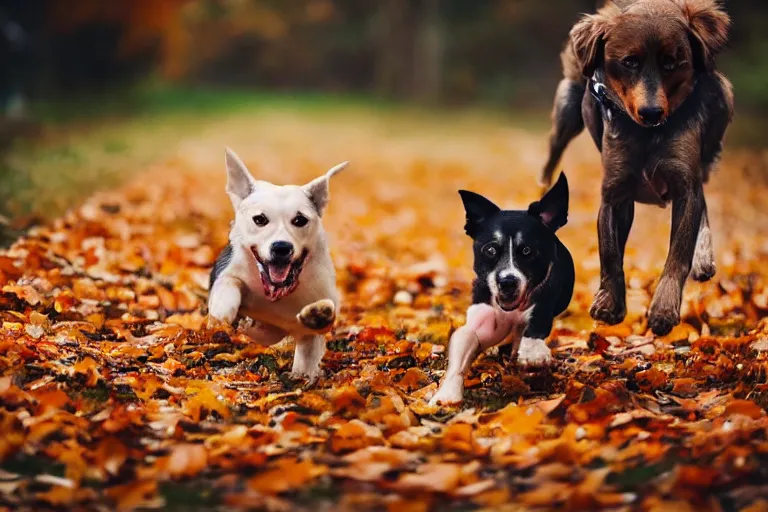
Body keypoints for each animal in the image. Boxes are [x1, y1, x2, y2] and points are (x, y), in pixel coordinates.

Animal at [206, 148, 346, 380]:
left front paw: (318, 315)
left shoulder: (315, 317)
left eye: (300, 220)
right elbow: (229, 283)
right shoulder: (228, 270)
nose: (281, 247)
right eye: (260, 219)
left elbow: (322, 321)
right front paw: (225, 309)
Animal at [428, 174, 572, 406]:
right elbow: (461, 353)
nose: (507, 281)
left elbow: (537, 320)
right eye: (490, 250)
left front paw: (532, 351)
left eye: (527, 251)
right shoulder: (476, 326)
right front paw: (446, 394)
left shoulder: (544, 300)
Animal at [540, 0, 732, 338]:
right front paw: (608, 303)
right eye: (629, 62)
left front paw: (664, 309)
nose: (651, 112)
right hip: (565, 115)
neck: (646, 135)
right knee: (552, 157)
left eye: (671, 64)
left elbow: (679, 252)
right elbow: (610, 252)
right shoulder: (614, 194)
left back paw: (704, 256)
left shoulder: (685, 184)